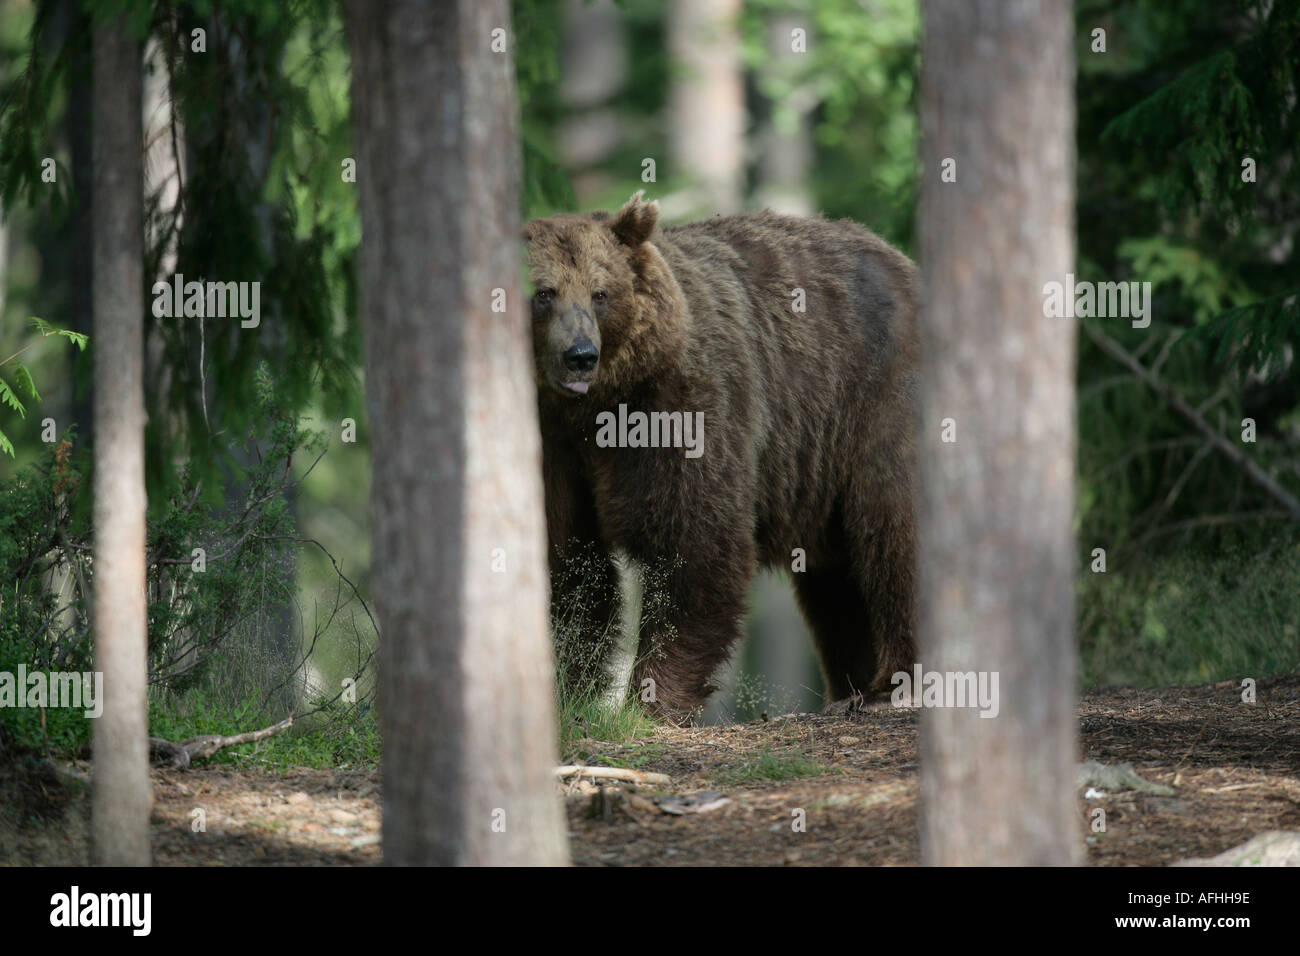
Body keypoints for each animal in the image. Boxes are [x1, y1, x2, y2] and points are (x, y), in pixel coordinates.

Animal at [524, 191, 919, 722]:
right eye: (545, 293)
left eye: (600, 293)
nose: (580, 355)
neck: (595, 410)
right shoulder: (554, 445)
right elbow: (567, 560)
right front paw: (570, 691)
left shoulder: (680, 408)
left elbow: (695, 546)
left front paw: (650, 700)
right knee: (837, 588)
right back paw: (849, 686)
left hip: (873, 401)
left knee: (892, 530)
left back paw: (887, 687)